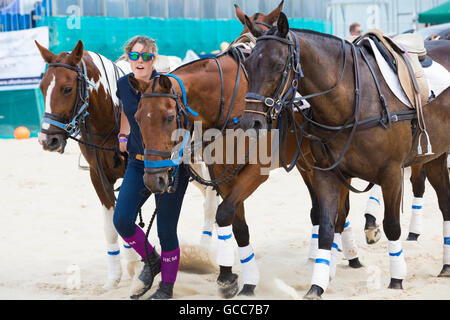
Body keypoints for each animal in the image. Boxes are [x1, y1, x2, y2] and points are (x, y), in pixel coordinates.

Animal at [241, 11, 448, 298]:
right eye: (248, 65)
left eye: (277, 65)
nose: (252, 123)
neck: (352, 101)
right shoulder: (327, 173)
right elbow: (328, 228)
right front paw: (317, 284)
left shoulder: (392, 173)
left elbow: (391, 225)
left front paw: (396, 278)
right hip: (437, 155)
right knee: (446, 202)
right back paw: (446, 265)